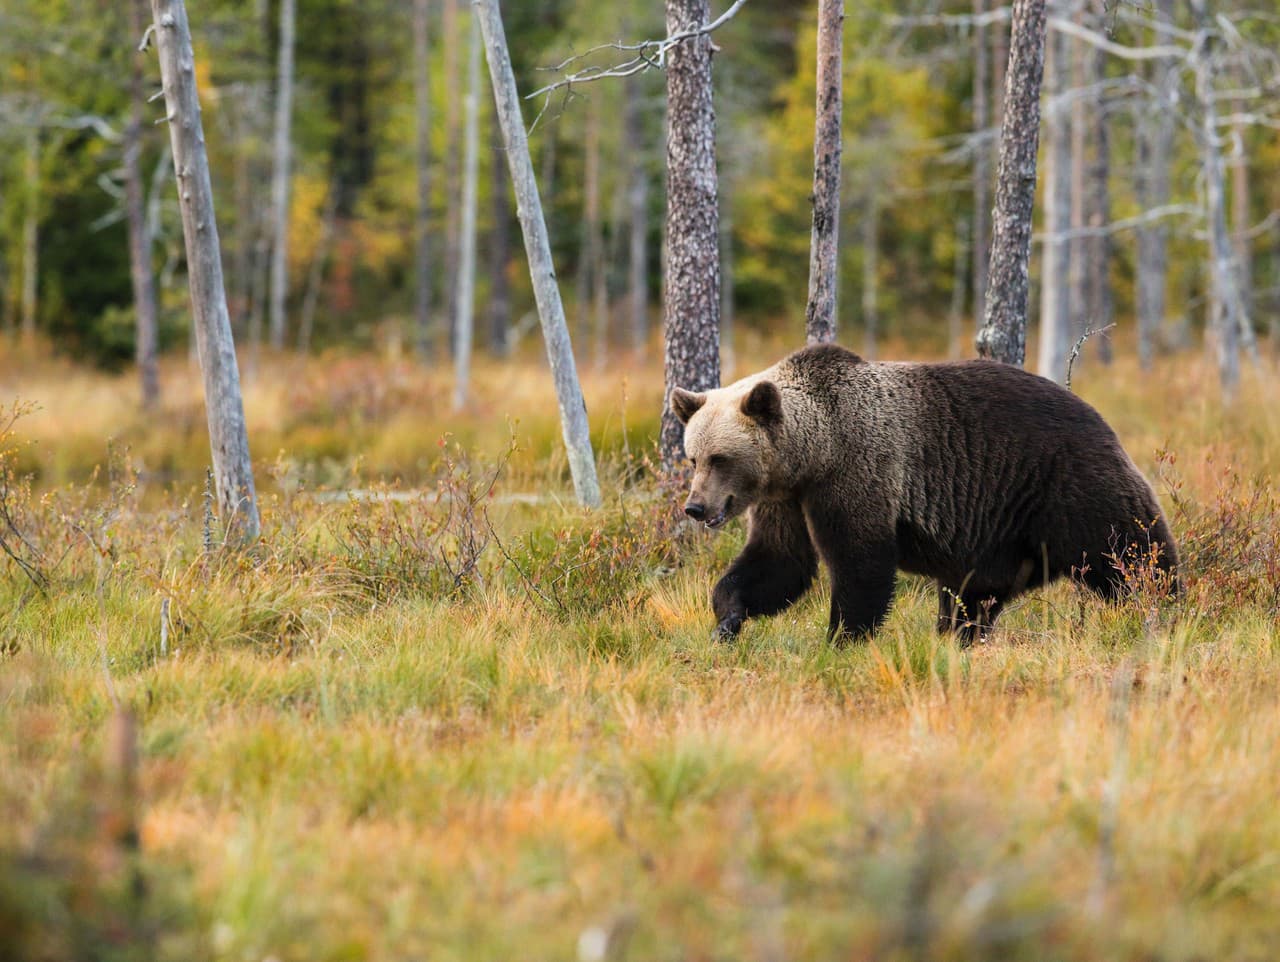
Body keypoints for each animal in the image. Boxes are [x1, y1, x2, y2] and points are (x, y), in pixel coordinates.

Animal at [670, 342, 1177, 642]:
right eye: (693, 457)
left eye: (720, 458)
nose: (695, 506)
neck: (813, 453)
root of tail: (1100, 417)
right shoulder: (787, 499)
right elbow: (779, 562)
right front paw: (727, 619)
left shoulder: (858, 471)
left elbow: (861, 563)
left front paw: (842, 638)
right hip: (999, 535)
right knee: (974, 596)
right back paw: (959, 636)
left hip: (1067, 485)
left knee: (1131, 552)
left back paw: (1166, 608)